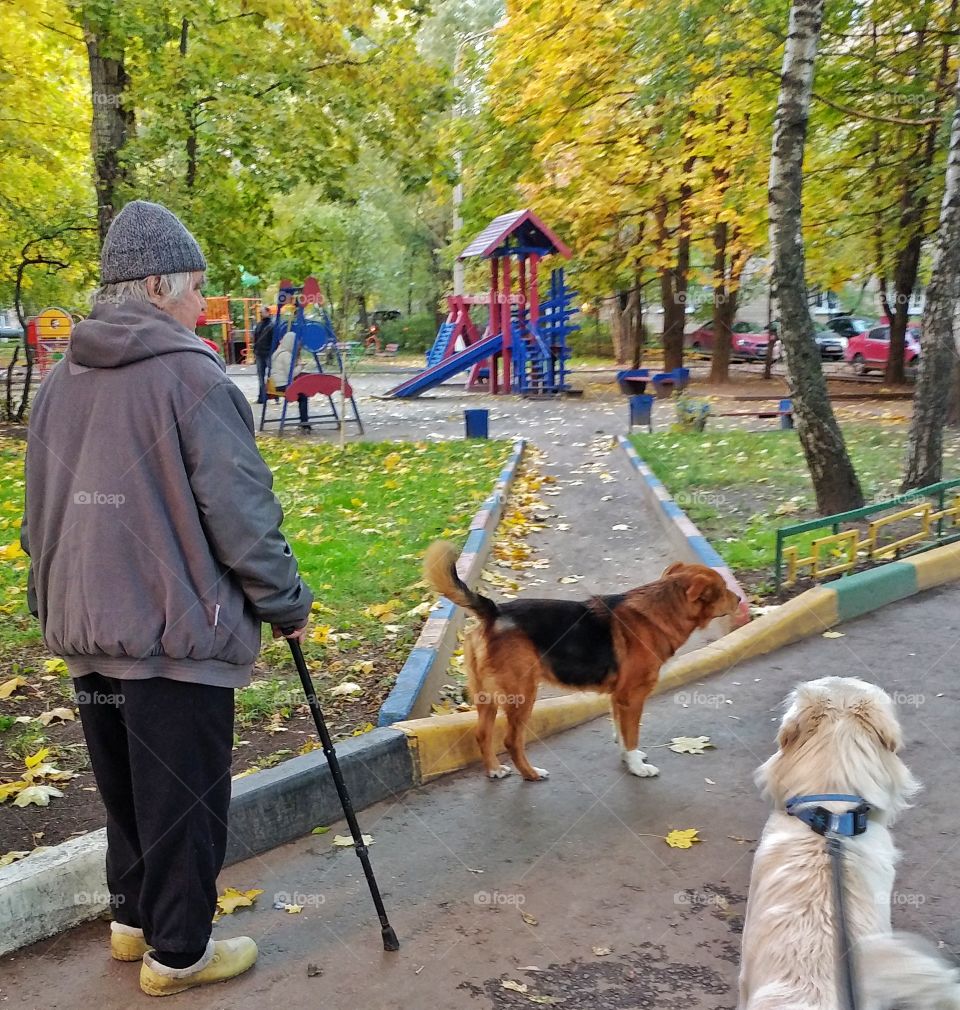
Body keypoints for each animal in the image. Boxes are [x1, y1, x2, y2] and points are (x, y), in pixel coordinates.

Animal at [424, 545, 739, 779]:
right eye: (723, 589)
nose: (738, 598)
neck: (662, 609)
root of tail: (494, 612)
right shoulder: (632, 698)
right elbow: (632, 735)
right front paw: (638, 768)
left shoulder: (618, 699)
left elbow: (621, 734)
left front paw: (629, 760)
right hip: (522, 695)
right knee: (511, 740)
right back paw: (531, 774)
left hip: (486, 697)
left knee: (482, 734)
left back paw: (494, 770)